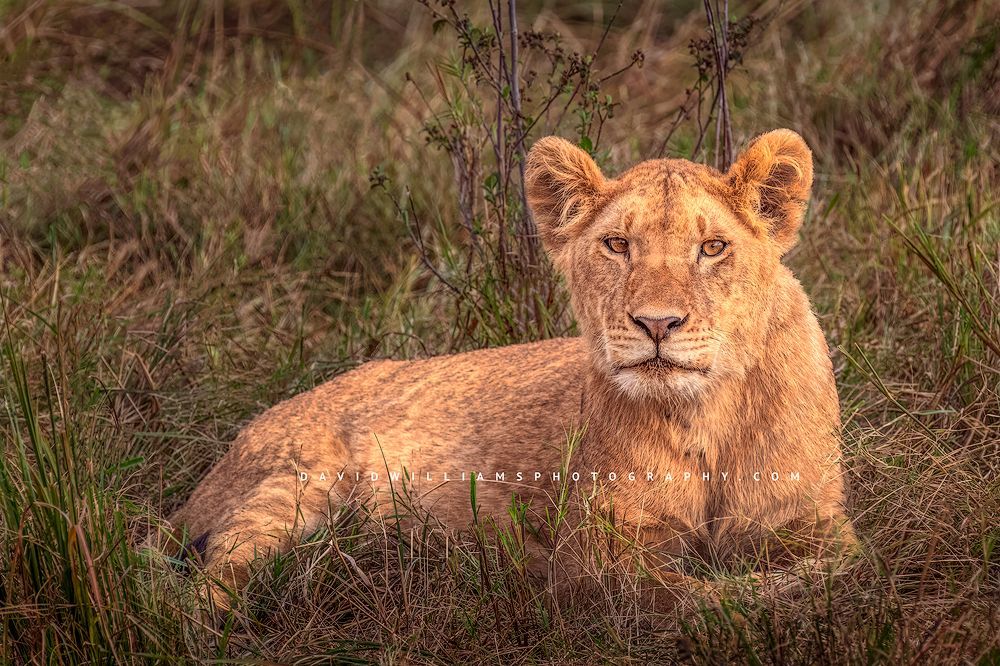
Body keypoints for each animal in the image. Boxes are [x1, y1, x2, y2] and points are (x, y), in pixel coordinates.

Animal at [162, 129, 855, 609]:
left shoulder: (813, 519)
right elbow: (692, 595)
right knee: (202, 584)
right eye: (617, 245)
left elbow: (839, 565)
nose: (657, 324)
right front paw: (751, 597)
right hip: (295, 484)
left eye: (713, 248)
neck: (702, 414)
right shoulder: (597, 550)